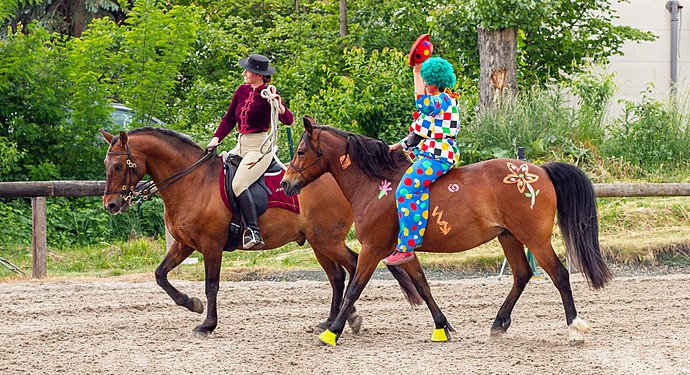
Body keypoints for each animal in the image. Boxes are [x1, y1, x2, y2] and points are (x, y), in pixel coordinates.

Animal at [98, 127, 420, 338]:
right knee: (338, 276)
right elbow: (160, 275)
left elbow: (211, 285)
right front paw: (191, 304)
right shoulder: (183, 244)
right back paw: (331, 320)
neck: (192, 181)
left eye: (119, 165)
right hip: (318, 243)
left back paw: (346, 319)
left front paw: (207, 324)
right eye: (105, 164)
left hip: (326, 240)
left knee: (352, 267)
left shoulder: (210, 245)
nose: (111, 204)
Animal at [280, 116, 612, 348]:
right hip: (509, 237)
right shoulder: (402, 251)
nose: (285, 183)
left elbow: (354, 289)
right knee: (522, 274)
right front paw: (442, 326)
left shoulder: (373, 249)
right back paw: (499, 323)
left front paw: (331, 332)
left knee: (559, 275)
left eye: (300, 151)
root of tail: (539, 169)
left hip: (535, 239)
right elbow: (423, 286)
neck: (375, 184)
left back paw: (574, 329)